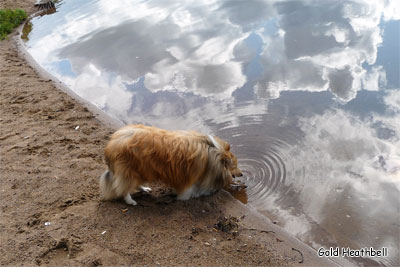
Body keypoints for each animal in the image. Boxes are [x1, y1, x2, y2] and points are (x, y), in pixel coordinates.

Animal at [100, 124, 244, 206]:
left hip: (141, 170)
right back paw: (131, 201)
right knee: (124, 188)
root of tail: (111, 144)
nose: (242, 174)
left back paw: (145, 189)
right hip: (129, 170)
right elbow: (190, 189)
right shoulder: (191, 176)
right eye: (235, 165)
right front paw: (186, 197)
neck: (215, 152)